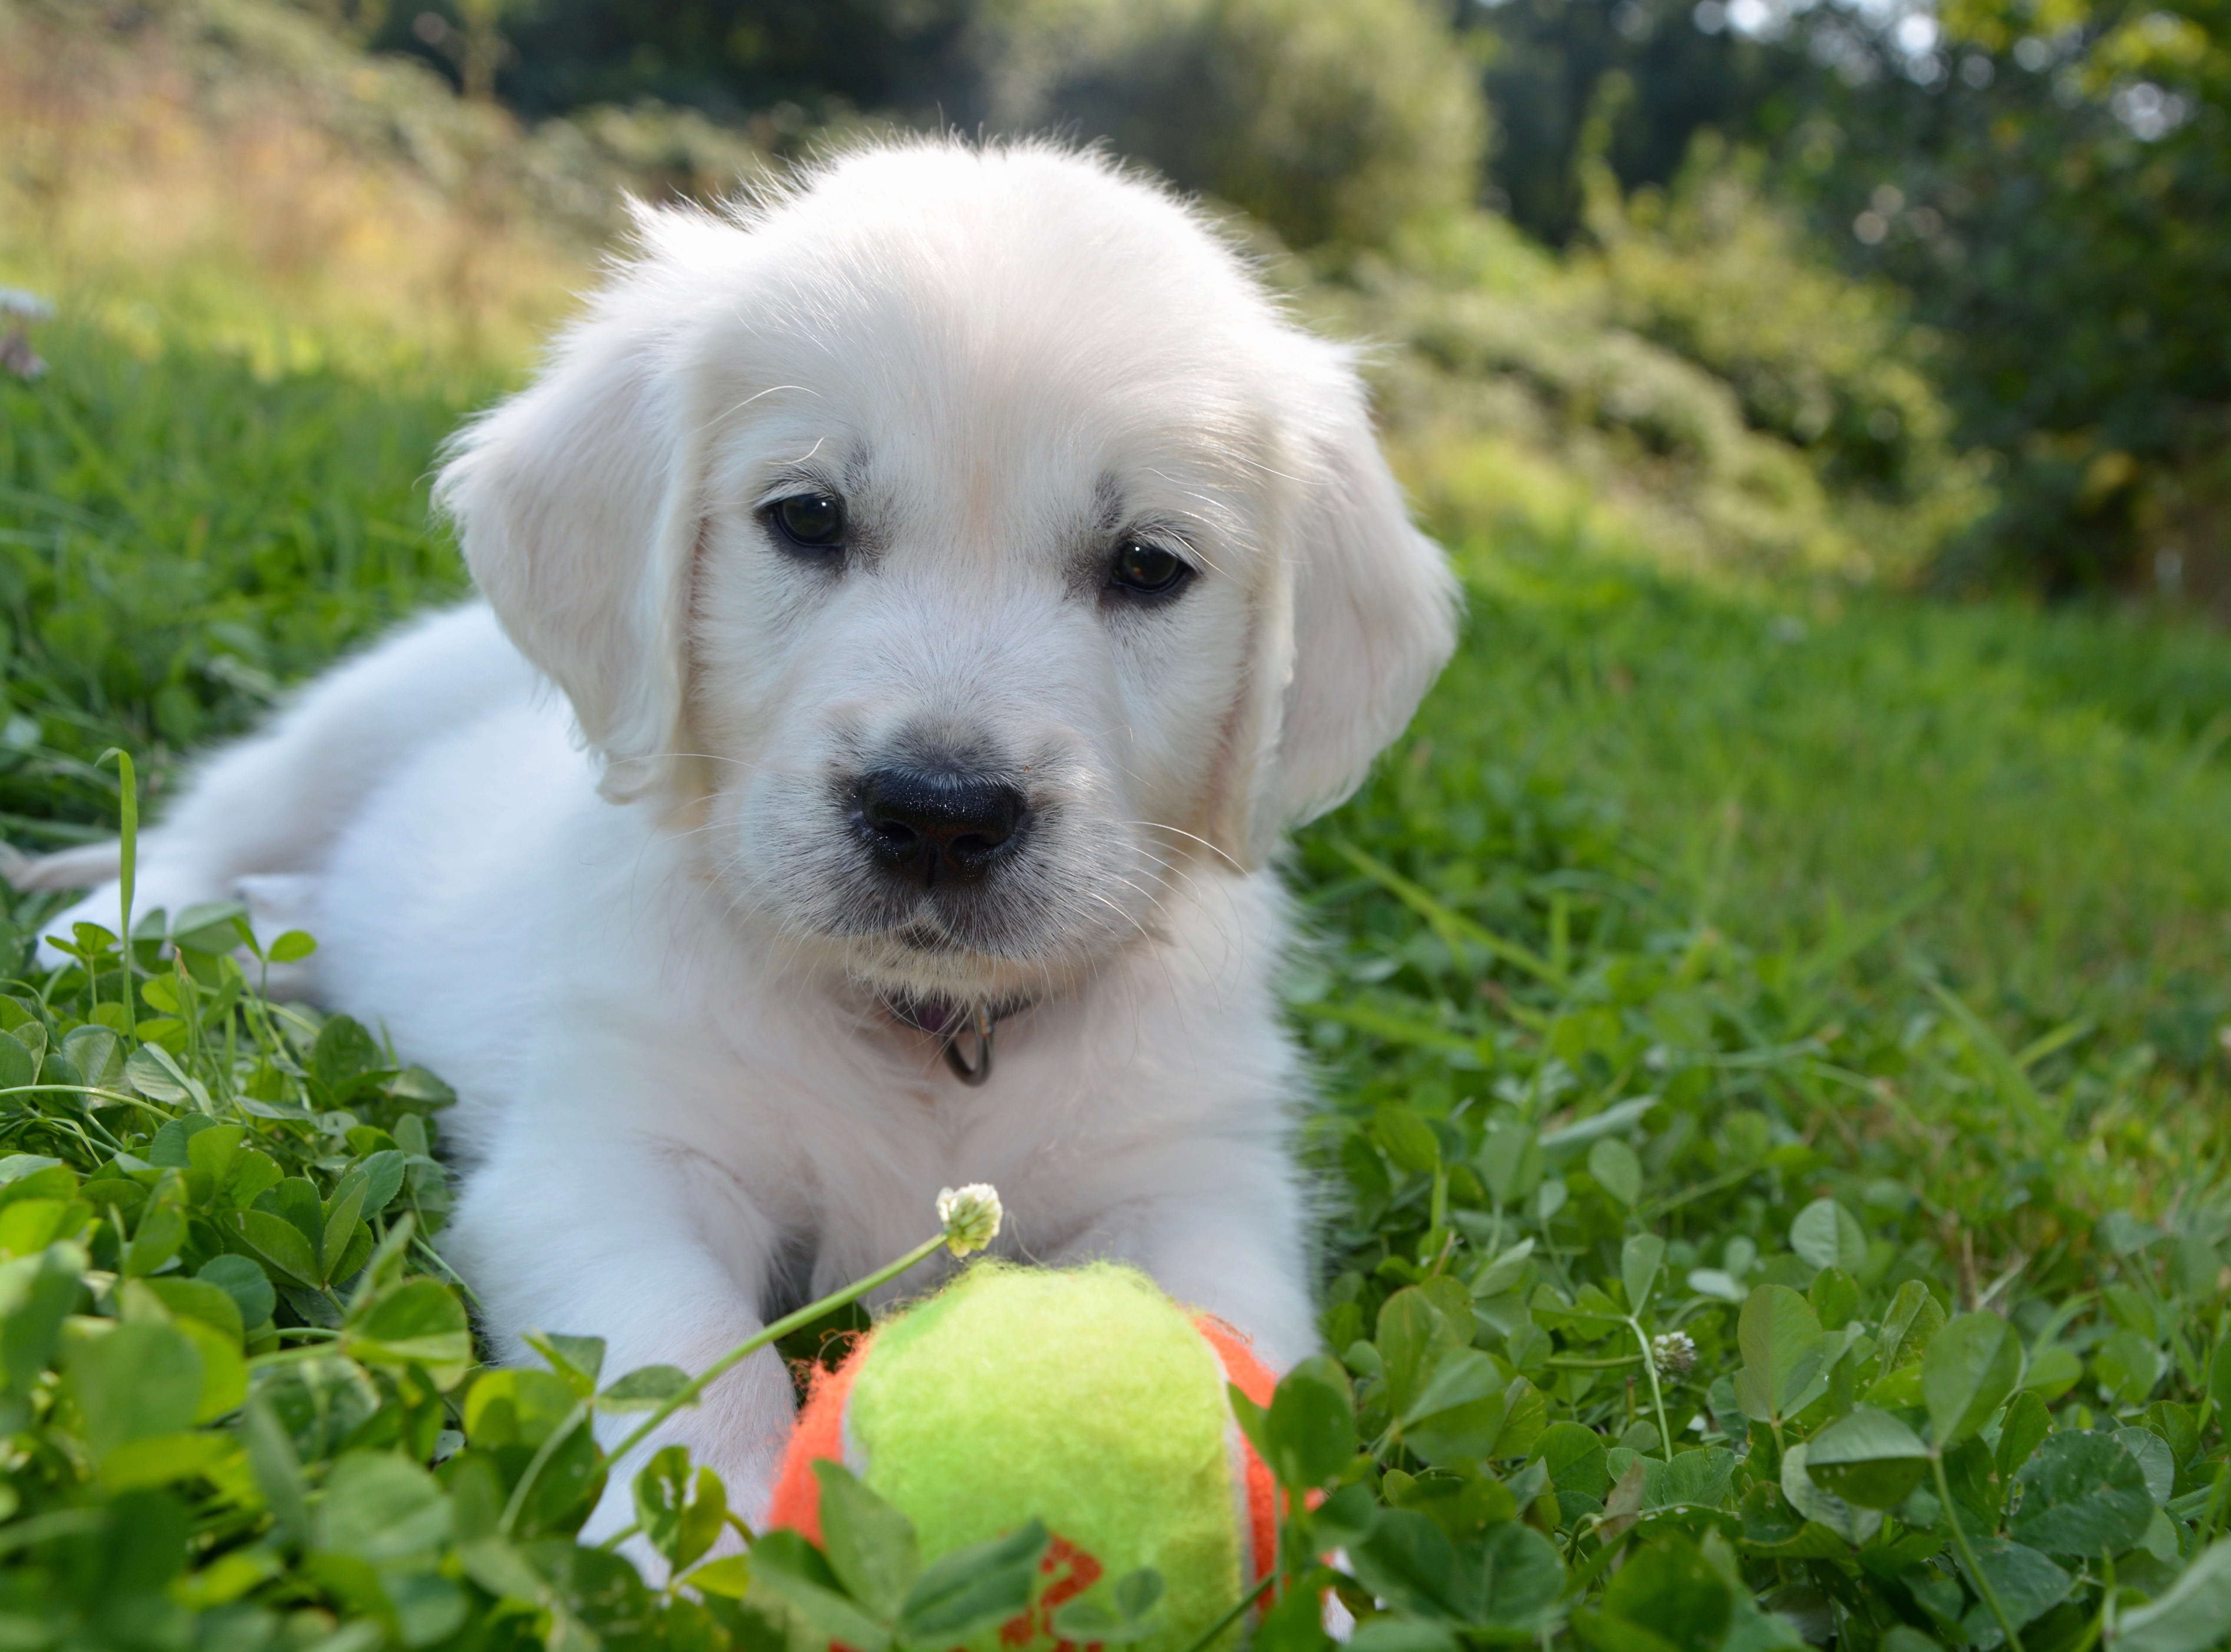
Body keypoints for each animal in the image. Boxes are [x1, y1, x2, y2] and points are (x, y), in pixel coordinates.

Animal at [26, 141, 1454, 1525]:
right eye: (807, 517)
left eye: (1149, 566)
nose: (936, 813)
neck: (925, 1033)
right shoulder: (616, 1155)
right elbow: (688, 1356)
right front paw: (705, 1549)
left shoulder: (1195, 1184)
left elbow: (1232, 1368)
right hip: (351, 720)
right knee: (209, 835)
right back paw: (99, 927)